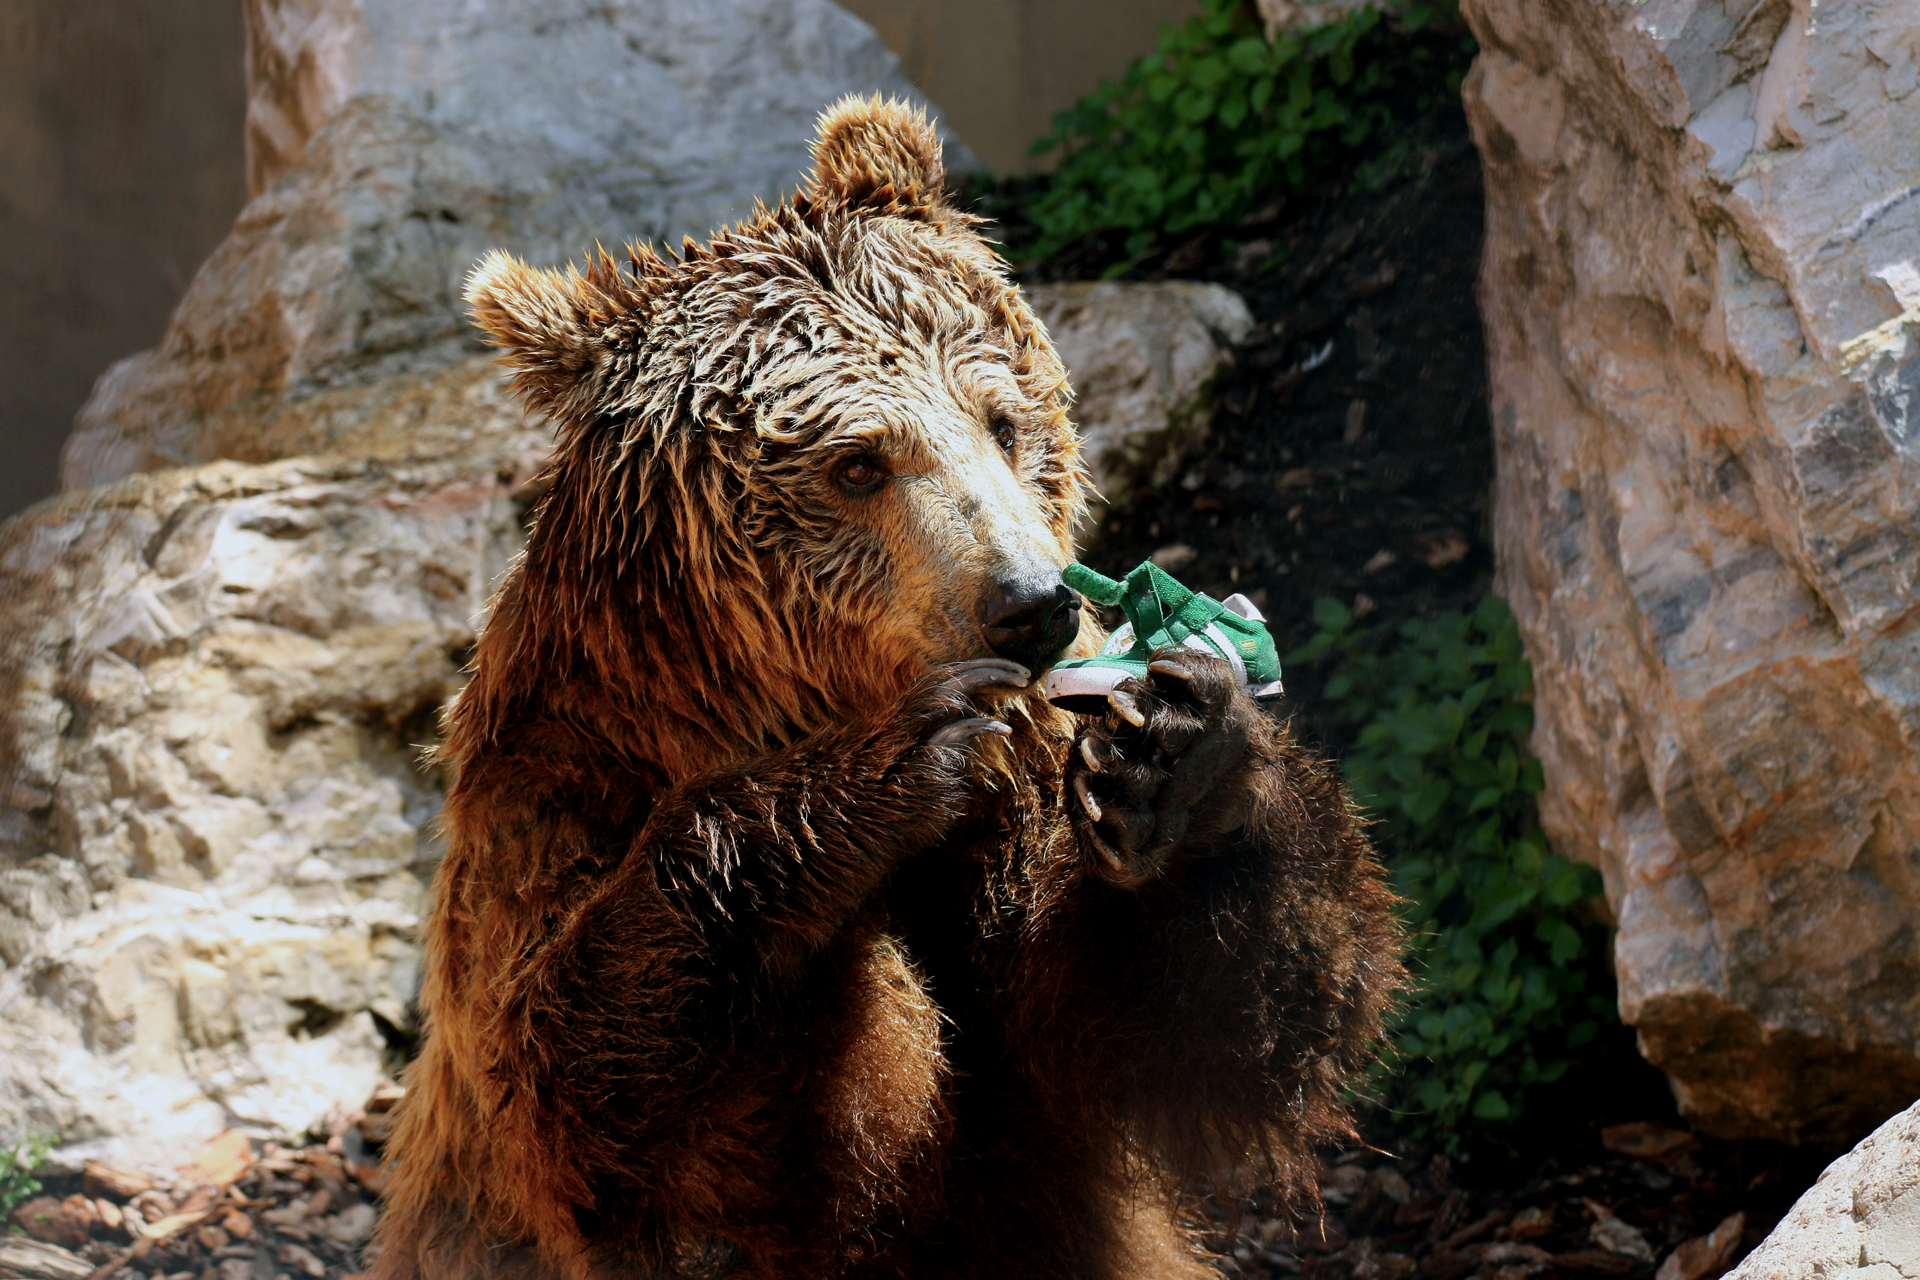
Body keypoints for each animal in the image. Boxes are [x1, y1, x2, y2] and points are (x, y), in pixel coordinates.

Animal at [369, 96, 1404, 1280]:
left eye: (1002, 420)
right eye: (859, 462)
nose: (1032, 604)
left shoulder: (1026, 835)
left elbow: (1168, 1025)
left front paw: (1179, 757)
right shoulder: (551, 804)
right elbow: (602, 1104)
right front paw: (893, 769)